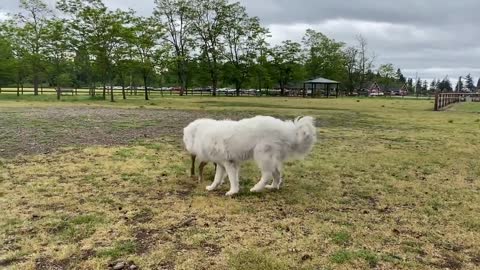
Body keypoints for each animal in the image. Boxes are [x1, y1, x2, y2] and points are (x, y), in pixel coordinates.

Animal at [182, 115, 316, 195]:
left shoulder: (229, 163)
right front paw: (212, 187)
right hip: (271, 160)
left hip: (261, 155)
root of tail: (287, 131)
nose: (188, 148)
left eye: (185, 138)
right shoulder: (221, 164)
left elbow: (232, 179)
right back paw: (272, 187)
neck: (204, 132)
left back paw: (256, 188)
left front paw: (232, 192)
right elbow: (217, 178)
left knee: (267, 175)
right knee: (277, 174)